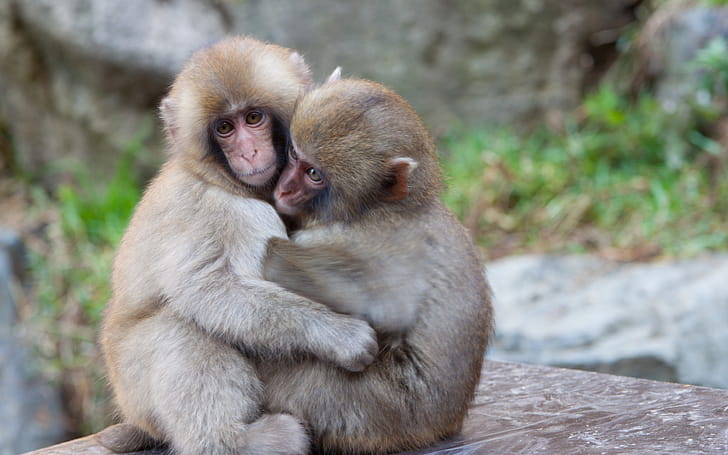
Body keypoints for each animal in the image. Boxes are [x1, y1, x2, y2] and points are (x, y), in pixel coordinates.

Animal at [96, 37, 381, 455]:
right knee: (178, 329)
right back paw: (234, 442)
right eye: (225, 128)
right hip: (135, 386)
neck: (222, 180)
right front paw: (337, 334)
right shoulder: (222, 209)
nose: (248, 152)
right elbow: (209, 289)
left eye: (254, 118)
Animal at [259, 76, 495, 454]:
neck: (378, 207)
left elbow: (389, 307)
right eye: (294, 155)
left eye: (314, 174)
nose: (285, 189)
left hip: (373, 410)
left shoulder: (367, 240)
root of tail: (445, 425)